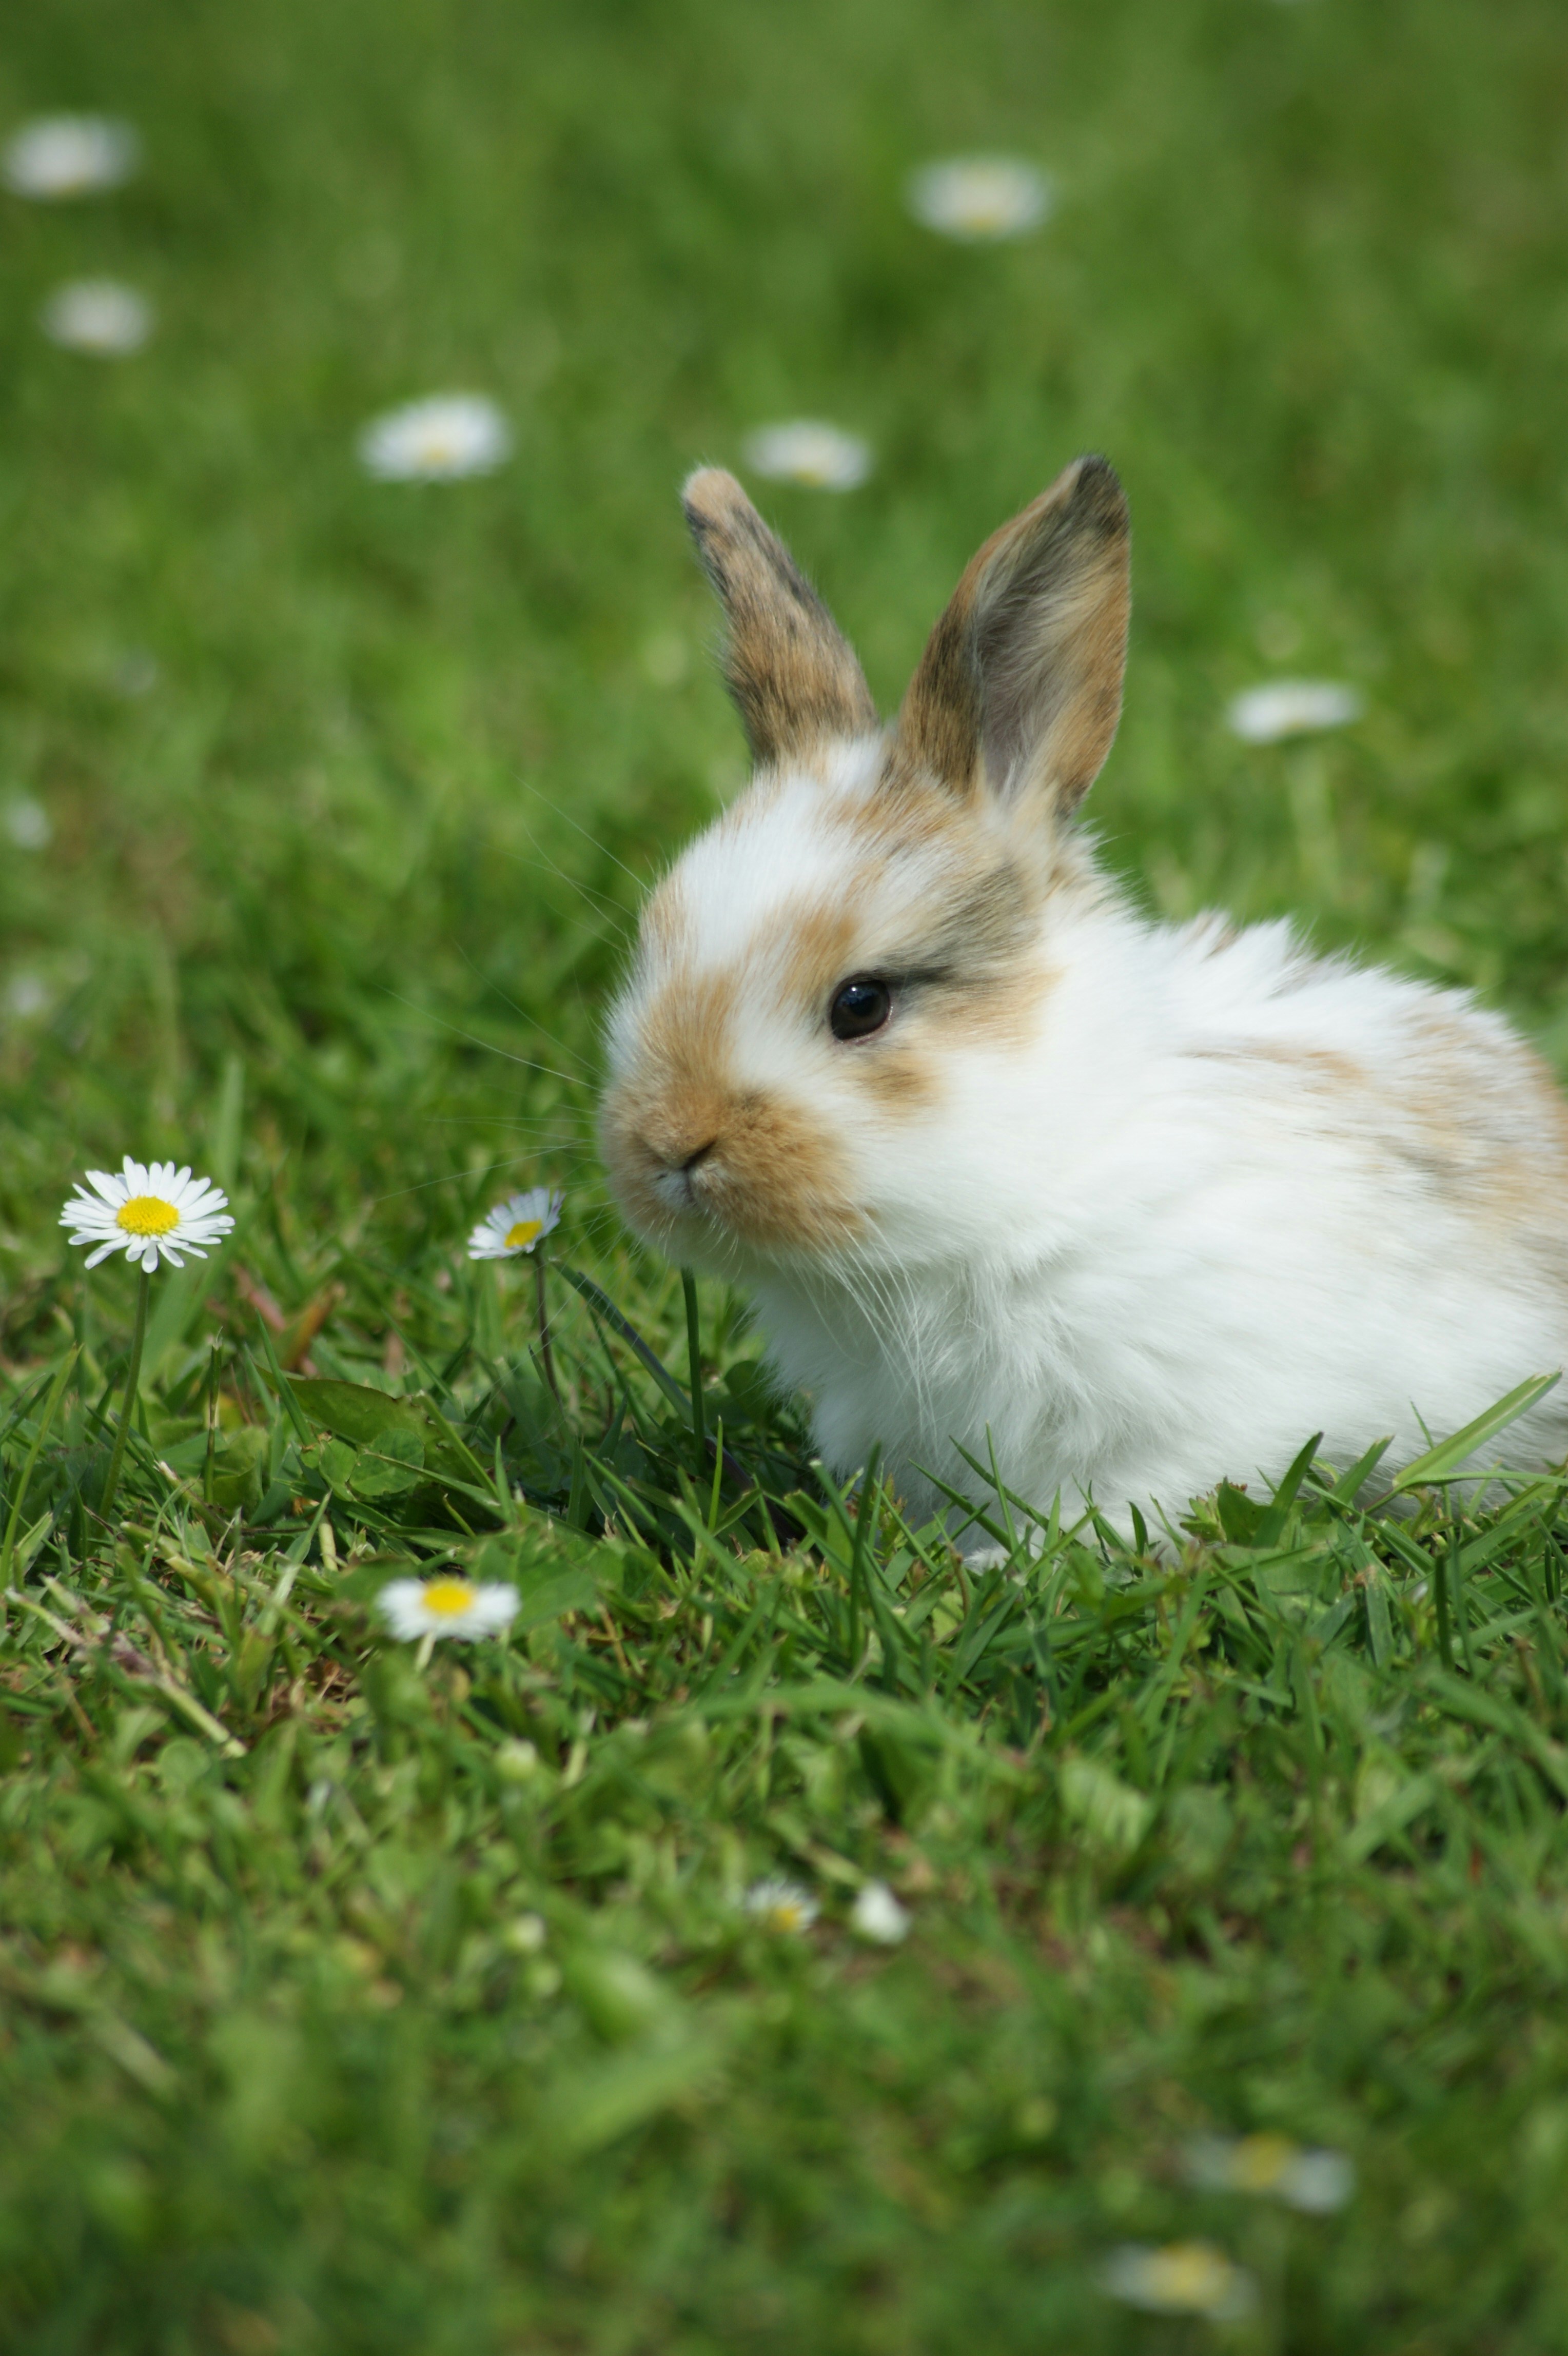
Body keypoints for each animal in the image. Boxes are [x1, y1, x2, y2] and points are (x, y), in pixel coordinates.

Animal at [599, 454, 1568, 1543]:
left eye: (861, 1003)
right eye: (651, 943)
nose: (668, 1149)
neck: (1048, 1150)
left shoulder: (1197, 1419)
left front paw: (1003, 1561)